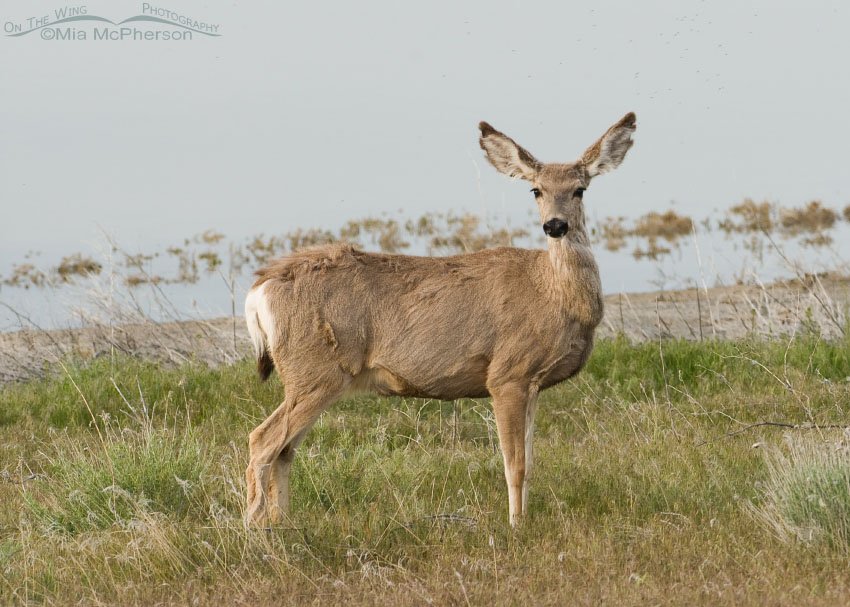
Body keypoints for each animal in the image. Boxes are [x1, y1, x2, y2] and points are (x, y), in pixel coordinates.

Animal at [243, 112, 636, 527]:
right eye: (536, 190)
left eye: (579, 190)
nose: (555, 226)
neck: (552, 294)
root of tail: (260, 289)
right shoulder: (508, 373)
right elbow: (514, 464)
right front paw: (515, 526)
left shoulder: (533, 382)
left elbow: (530, 462)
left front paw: (524, 520)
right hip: (315, 369)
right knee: (262, 440)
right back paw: (254, 528)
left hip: (311, 375)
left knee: (285, 449)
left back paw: (283, 524)